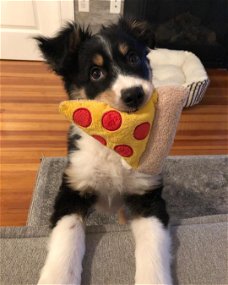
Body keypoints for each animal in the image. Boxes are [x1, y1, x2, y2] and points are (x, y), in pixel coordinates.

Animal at [35, 17, 172, 284]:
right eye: (95, 73)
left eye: (133, 58)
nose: (134, 94)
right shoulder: (72, 190)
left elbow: (153, 244)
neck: (114, 145)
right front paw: (58, 277)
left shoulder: (146, 195)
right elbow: (67, 236)